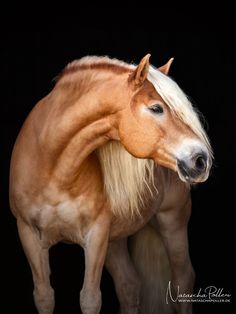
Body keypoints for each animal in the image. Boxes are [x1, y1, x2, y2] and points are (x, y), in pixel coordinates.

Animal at [9, 54, 212, 314]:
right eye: (156, 108)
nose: (201, 159)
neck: (52, 166)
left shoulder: (95, 235)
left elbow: (90, 299)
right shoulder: (29, 235)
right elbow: (44, 296)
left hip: (172, 221)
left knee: (182, 281)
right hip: (115, 241)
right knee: (130, 286)